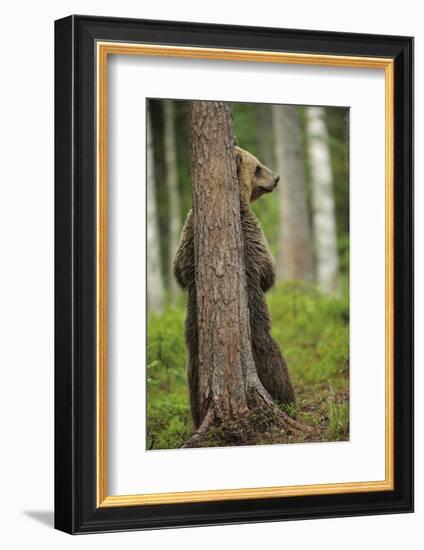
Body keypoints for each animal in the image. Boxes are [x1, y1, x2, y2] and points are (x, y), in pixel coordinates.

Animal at [172, 144, 294, 430]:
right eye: (258, 166)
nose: (277, 178)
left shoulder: (187, 233)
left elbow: (179, 270)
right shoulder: (250, 230)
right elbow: (267, 270)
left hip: (193, 351)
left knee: (193, 381)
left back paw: (198, 415)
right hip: (258, 334)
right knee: (275, 362)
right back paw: (288, 403)